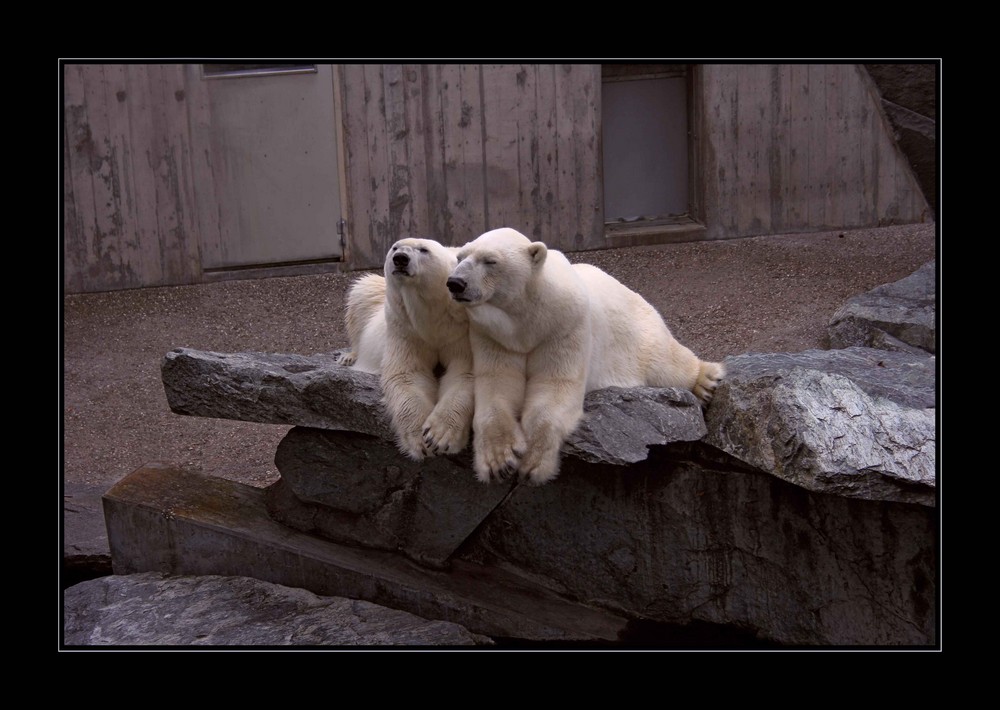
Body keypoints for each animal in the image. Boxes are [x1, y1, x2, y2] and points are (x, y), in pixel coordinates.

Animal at [340, 239, 472, 462]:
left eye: (424, 250)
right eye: (395, 247)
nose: (400, 258)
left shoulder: (461, 330)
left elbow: (465, 372)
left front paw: (440, 436)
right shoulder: (406, 327)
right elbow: (408, 374)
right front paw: (420, 440)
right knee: (362, 290)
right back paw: (348, 357)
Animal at [448, 227, 728, 484]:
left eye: (490, 260)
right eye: (460, 257)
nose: (455, 282)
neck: (526, 318)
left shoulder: (565, 325)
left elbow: (555, 387)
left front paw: (534, 464)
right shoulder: (493, 336)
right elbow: (498, 386)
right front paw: (499, 461)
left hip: (634, 333)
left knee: (663, 360)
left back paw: (704, 381)